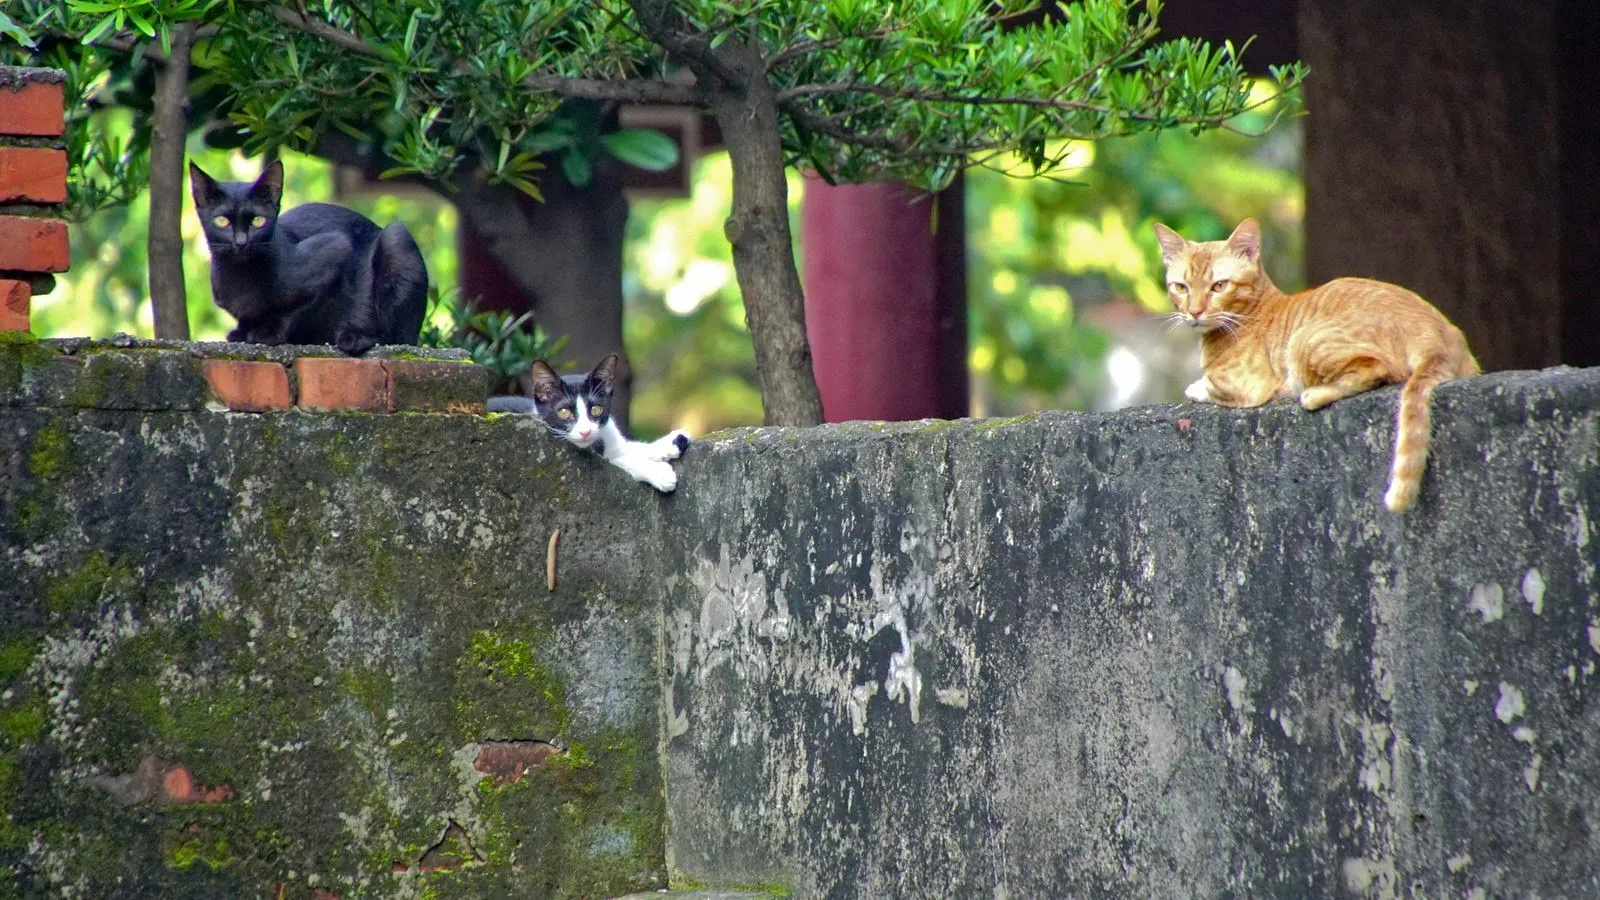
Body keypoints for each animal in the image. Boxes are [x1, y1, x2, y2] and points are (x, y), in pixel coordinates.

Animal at [187, 157, 432, 353]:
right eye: (222, 221)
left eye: (258, 221)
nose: (240, 242)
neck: (242, 281)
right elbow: (246, 320)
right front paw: (242, 332)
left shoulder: (336, 249)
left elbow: (296, 312)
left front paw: (268, 334)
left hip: (396, 239)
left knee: (397, 338)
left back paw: (355, 338)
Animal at [486, 352, 688, 490]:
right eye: (564, 412)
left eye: (596, 409)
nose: (585, 431)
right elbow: (621, 461)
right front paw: (659, 472)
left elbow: (630, 447)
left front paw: (672, 441)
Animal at [1152, 217, 1472, 512]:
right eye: (1181, 287)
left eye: (1219, 286)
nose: (1194, 312)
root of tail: (1432, 329)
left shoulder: (1246, 385)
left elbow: (1204, 386)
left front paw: (1195, 387)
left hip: (1305, 339)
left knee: (1380, 370)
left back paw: (1315, 395)